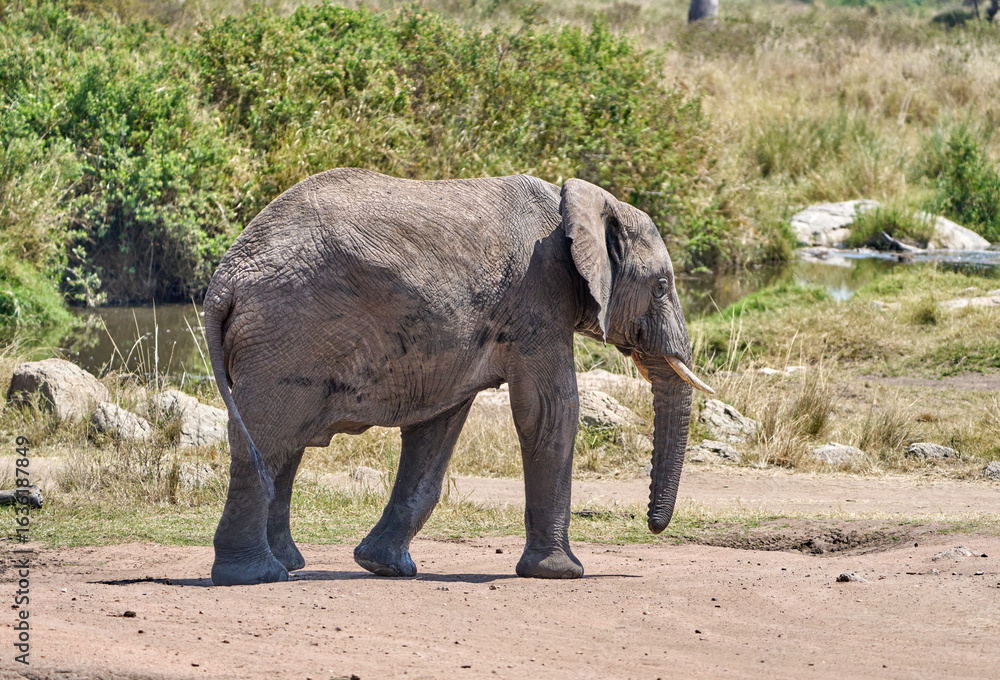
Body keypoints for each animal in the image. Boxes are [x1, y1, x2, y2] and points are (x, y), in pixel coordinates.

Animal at [204, 168, 713, 586]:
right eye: (662, 286)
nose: (652, 526)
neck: (577, 202)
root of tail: (223, 281)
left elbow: (437, 428)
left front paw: (385, 567)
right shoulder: (539, 296)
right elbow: (550, 411)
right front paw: (562, 573)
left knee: (283, 445)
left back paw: (288, 565)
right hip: (287, 334)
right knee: (268, 440)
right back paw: (257, 576)